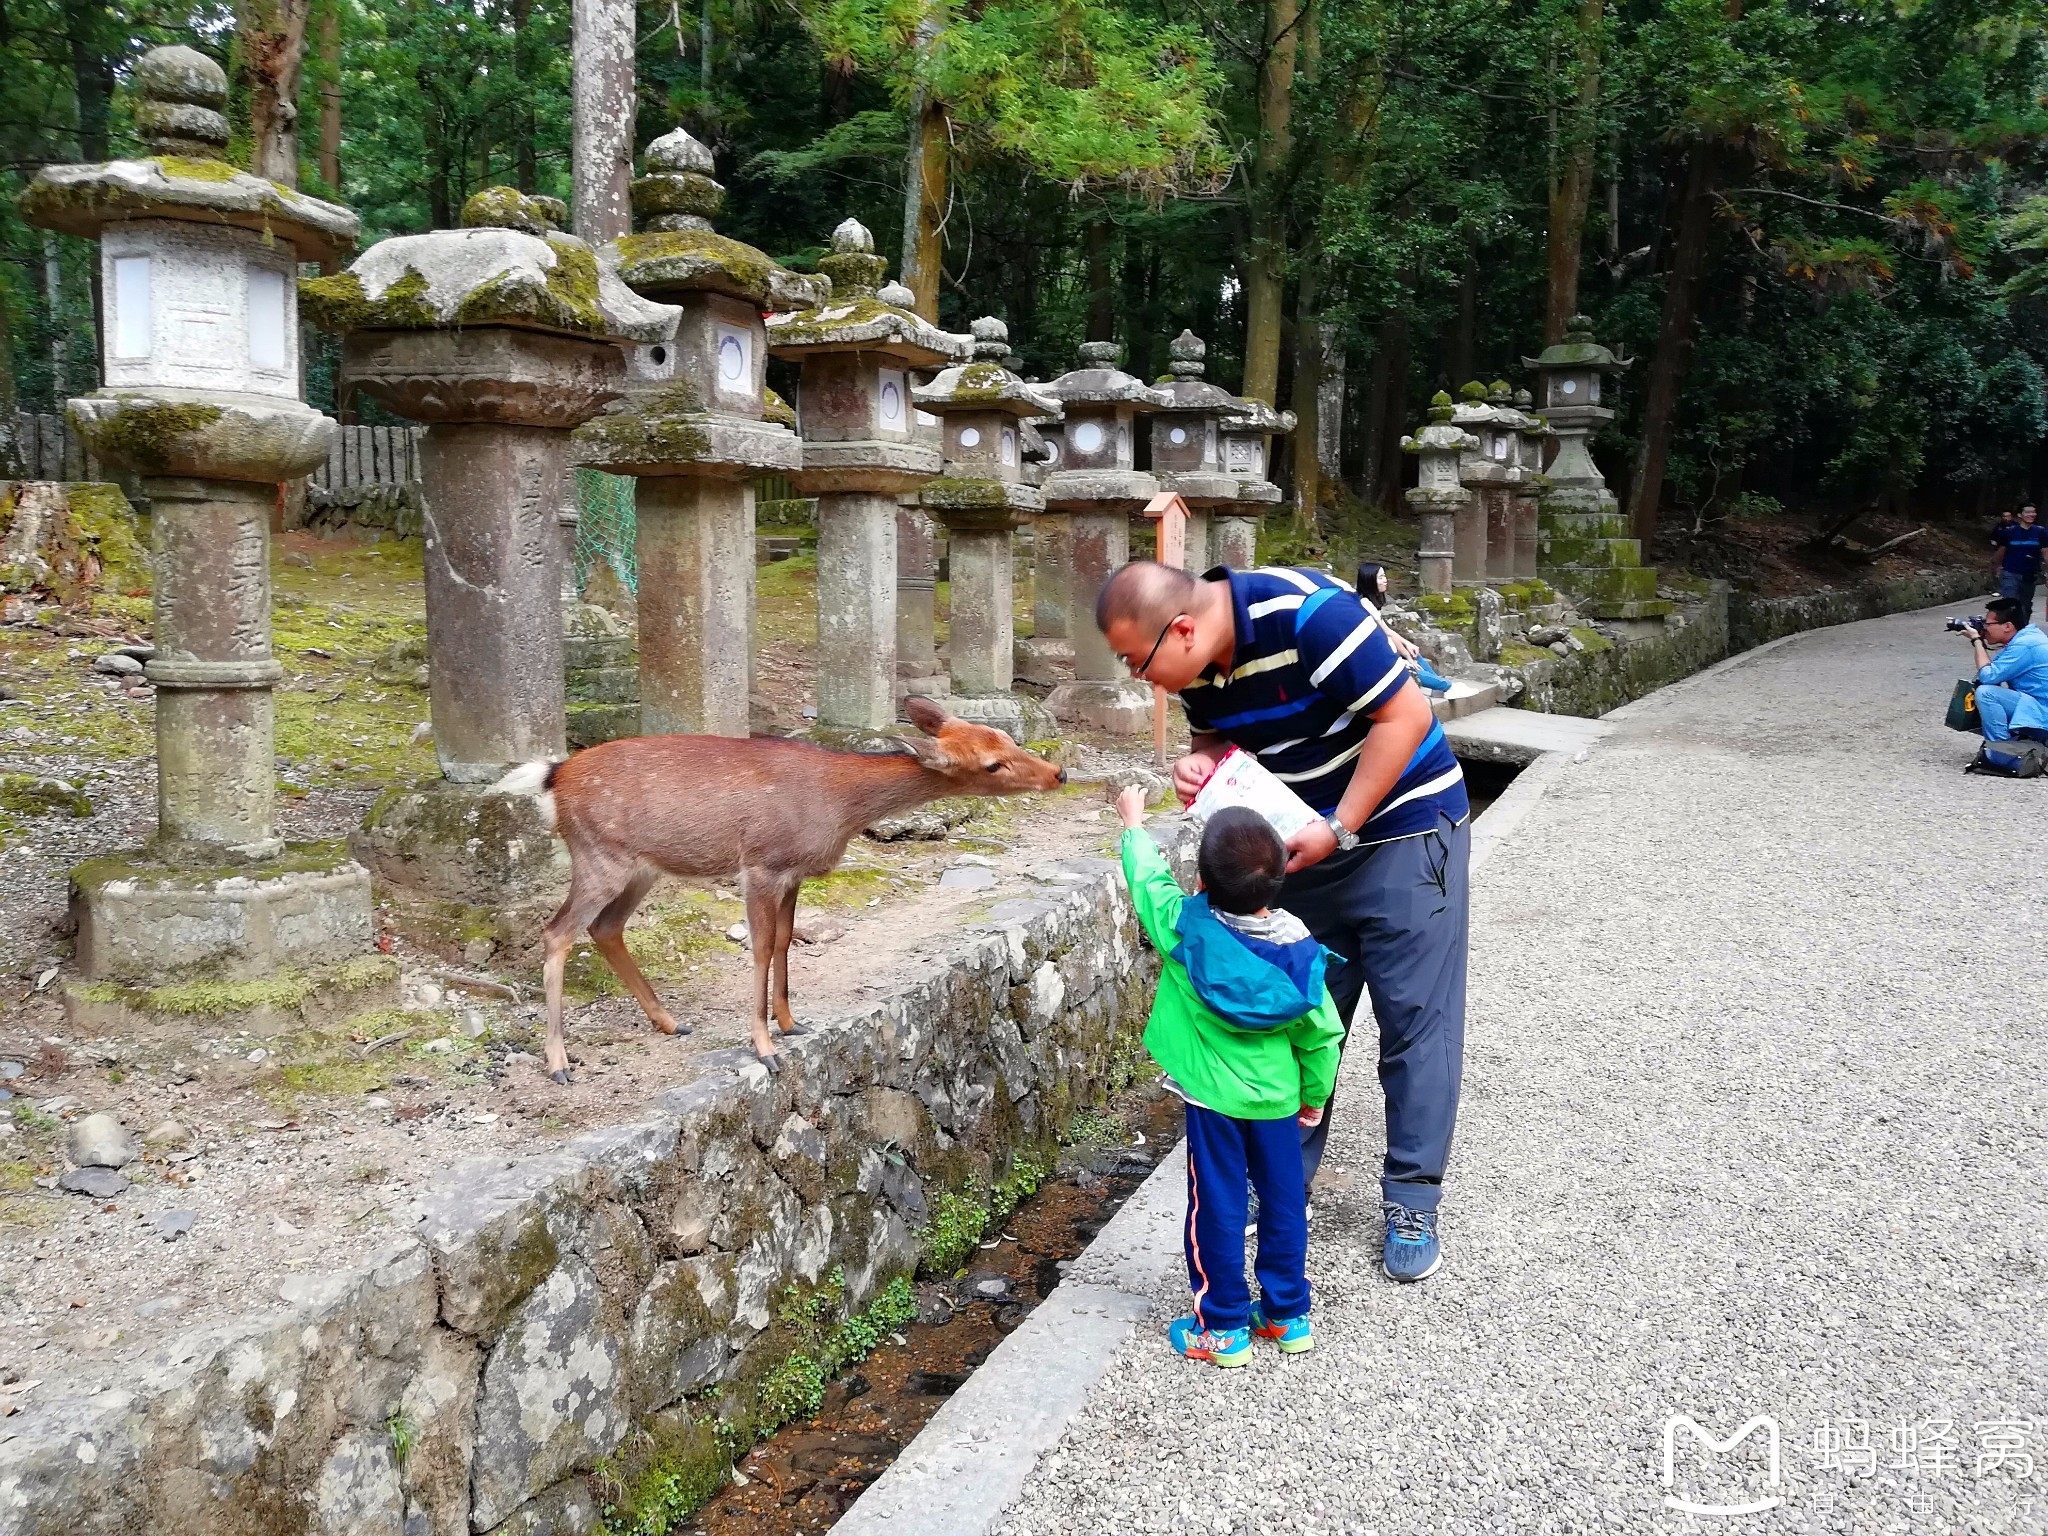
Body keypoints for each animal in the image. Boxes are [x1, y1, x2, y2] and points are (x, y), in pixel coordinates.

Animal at [489, 704, 1064, 1089]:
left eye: (1006, 737)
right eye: (991, 764)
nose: (1057, 772)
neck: (839, 806)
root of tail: (554, 777)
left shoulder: (794, 873)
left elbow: (787, 940)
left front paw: (791, 1024)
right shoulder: (761, 865)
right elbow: (762, 947)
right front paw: (764, 1049)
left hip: (640, 868)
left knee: (604, 927)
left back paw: (670, 1022)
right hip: (597, 855)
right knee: (557, 931)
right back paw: (559, 1063)